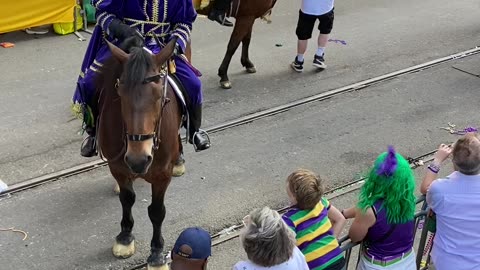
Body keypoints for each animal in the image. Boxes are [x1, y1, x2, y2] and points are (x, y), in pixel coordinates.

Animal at [95, 38, 184, 270]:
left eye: (159, 95)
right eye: (120, 93)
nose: (138, 160)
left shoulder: (162, 174)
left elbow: (156, 211)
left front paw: (157, 253)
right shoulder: (118, 167)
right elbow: (127, 199)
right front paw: (125, 237)